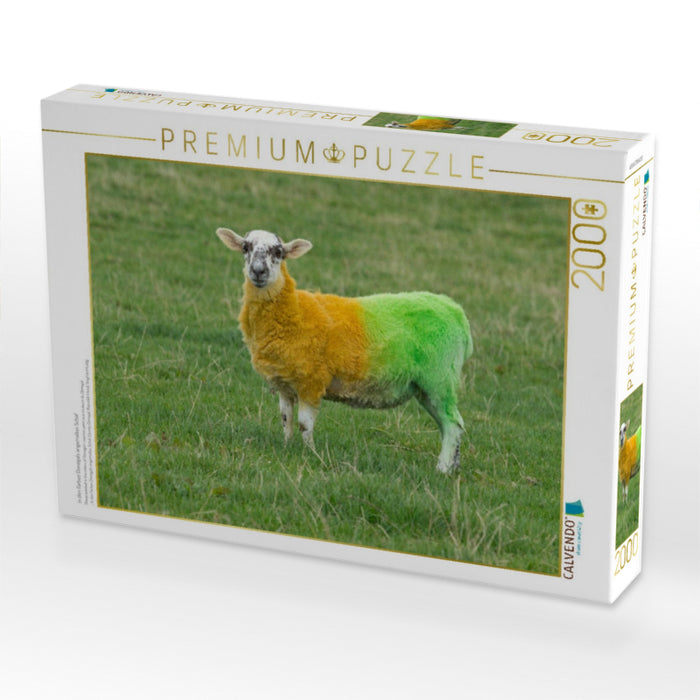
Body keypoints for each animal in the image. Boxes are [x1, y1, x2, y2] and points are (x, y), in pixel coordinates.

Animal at [216, 227, 473, 473]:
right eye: (246, 247)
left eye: (278, 251)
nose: (258, 271)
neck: (294, 309)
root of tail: (455, 312)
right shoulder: (285, 385)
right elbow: (286, 420)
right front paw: (287, 448)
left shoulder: (311, 381)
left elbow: (304, 425)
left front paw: (310, 454)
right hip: (427, 387)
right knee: (451, 425)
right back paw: (453, 467)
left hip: (439, 378)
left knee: (452, 424)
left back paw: (442, 469)